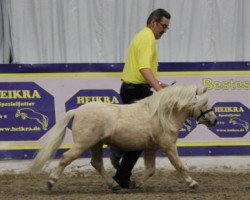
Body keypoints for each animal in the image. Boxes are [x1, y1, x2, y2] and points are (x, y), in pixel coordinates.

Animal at [30, 84, 217, 191]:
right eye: (204, 103)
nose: (214, 120)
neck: (163, 115)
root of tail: (77, 110)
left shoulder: (151, 148)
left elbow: (151, 169)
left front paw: (137, 184)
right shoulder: (168, 146)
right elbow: (179, 165)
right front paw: (192, 183)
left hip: (96, 144)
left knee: (97, 163)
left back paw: (114, 185)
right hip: (83, 144)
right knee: (65, 158)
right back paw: (50, 182)